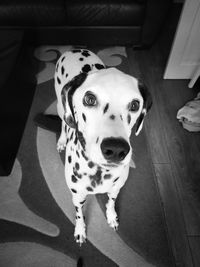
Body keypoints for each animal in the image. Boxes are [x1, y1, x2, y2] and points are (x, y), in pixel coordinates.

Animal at [54, 48, 152, 247]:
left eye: (135, 104)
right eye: (89, 99)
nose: (116, 149)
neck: (98, 171)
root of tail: (73, 49)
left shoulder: (116, 189)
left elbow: (111, 202)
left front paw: (112, 216)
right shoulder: (77, 196)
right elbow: (79, 215)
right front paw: (80, 230)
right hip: (61, 106)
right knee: (63, 120)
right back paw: (61, 140)